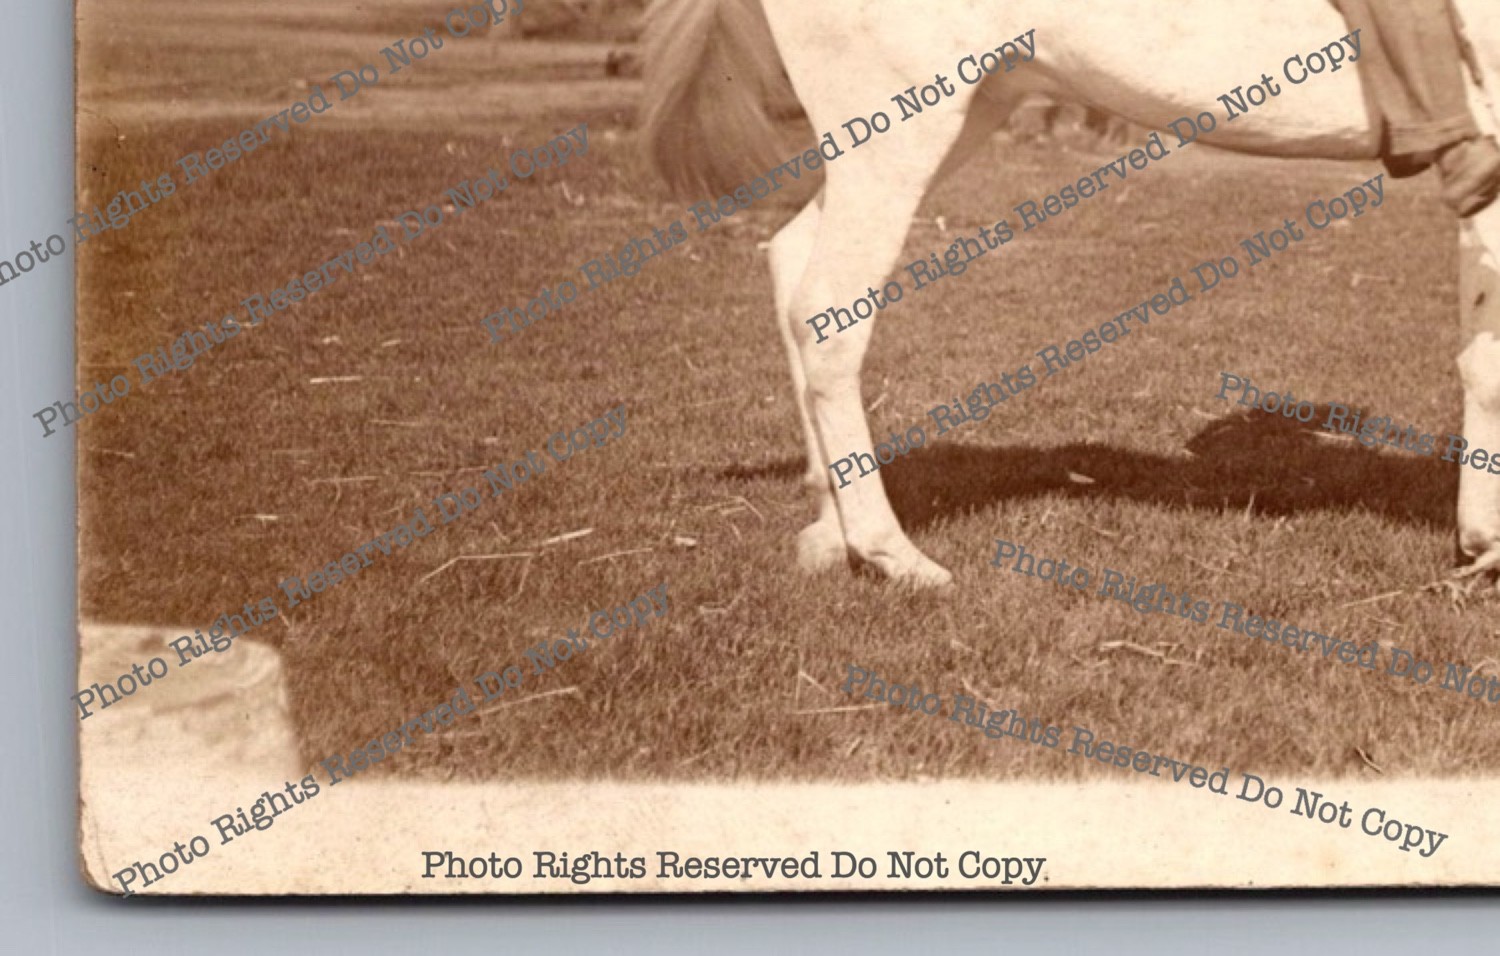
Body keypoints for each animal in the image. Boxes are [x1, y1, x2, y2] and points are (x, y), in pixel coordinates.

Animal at [641, 0, 1500, 588]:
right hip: (898, 130)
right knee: (828, 310)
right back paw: (893, 554)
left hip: (954, 115)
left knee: (793, 263)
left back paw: (828, 528)